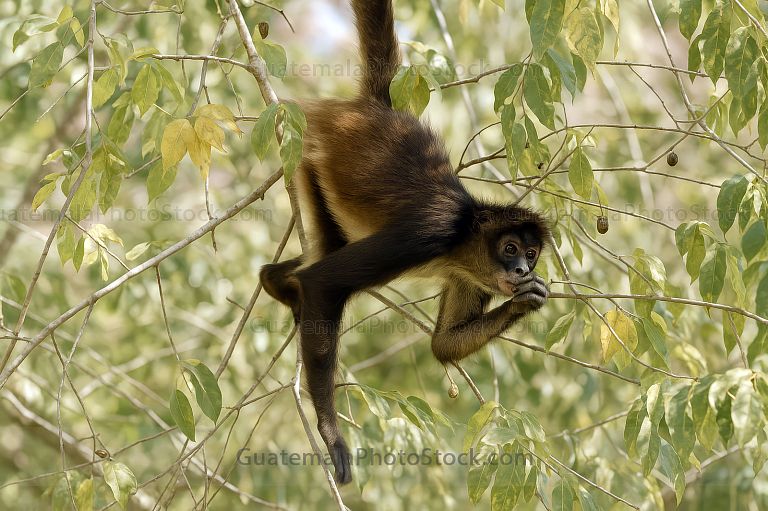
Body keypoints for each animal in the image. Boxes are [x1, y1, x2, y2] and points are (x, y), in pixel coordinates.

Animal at [259, 0, 549, 484]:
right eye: (510, 249)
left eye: (531, 254)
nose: (522, 270)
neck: (464, 234)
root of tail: (377, 110)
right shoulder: (432, 232)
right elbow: (324, 282)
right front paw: (331, 435)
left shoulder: (469, 274)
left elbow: (442, 345)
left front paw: (528, 300)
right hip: (312, 144)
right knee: (319, 271)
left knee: (312, 254)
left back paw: (277, 280)